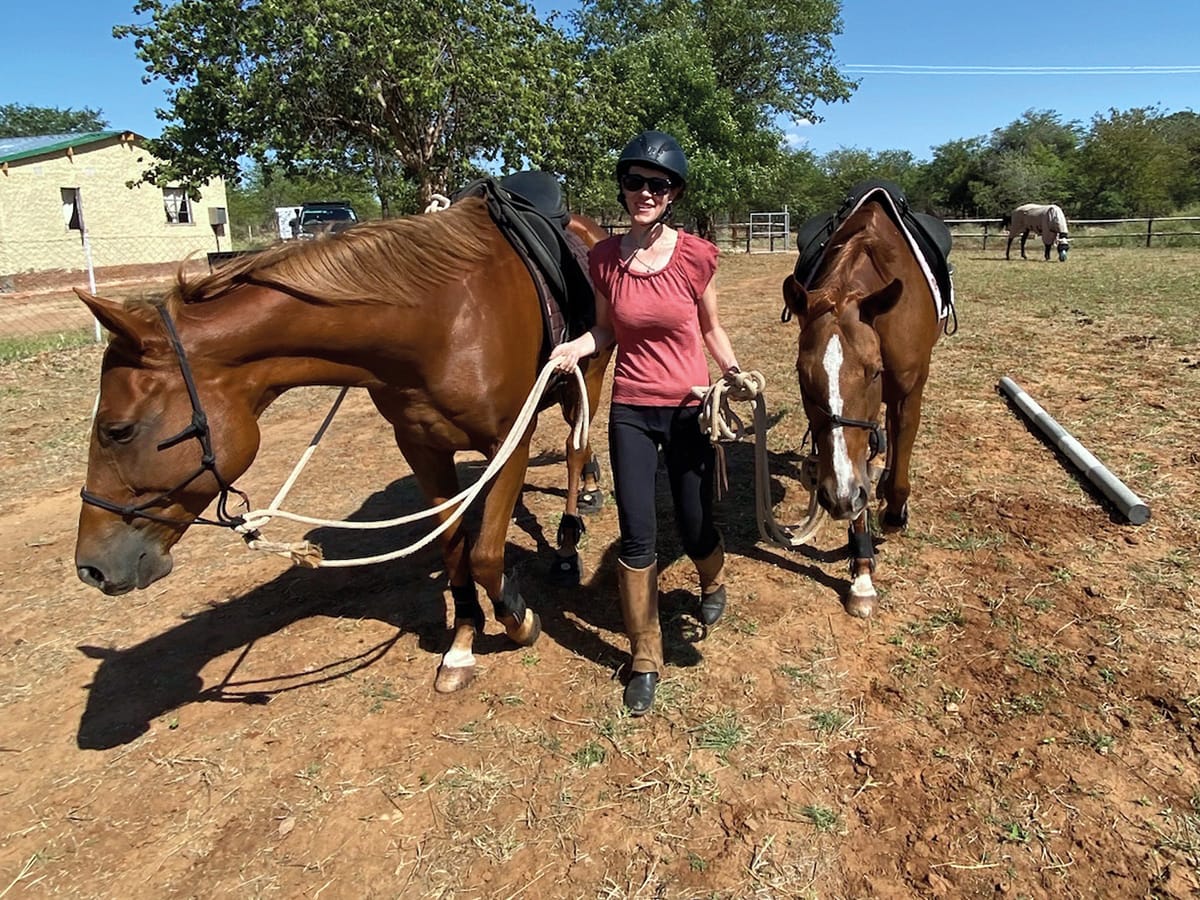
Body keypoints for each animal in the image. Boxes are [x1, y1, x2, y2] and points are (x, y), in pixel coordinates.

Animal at [72, 193, 612, 693]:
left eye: (118, 430)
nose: (91, 568)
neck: (437, 320)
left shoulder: (510, 441)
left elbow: (484, 555)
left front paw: (519, 618)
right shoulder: (423, 449)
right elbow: (454, 549)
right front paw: (461, 643)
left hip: (588, 373)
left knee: (575, 448)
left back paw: (570, 535)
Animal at [781, 191, 950, 617]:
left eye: (873, 372)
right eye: (802, 374)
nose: (835, 496)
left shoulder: (908, 393)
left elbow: (899, 464)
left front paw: (894, 512)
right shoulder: (846, 464)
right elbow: (858, 491)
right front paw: (862, 575)